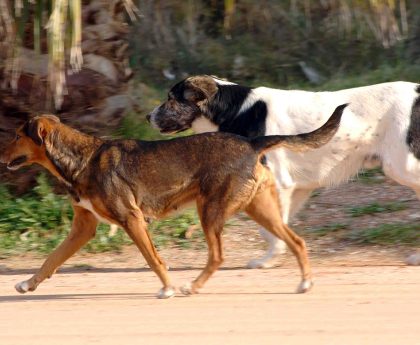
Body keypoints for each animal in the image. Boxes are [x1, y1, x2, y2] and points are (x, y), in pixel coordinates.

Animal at [0, 103, 346, 296]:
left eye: (16, 136)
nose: (0, 154)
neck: (82, 159)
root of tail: (252, 142)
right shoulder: (83, 228)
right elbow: (51, 260)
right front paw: (28, 284)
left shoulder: (132, 219)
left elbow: (154, 259)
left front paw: (166, 288)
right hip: (260, 209)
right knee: (298, 241)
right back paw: (304, 284)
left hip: (211, 211)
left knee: (218, 256)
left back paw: (191, 287)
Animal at [148, 75, 420, 268]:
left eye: (171, 98)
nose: (148, 116)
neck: (235, 110)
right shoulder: (296, 188)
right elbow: (276, 228)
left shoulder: (279, 184)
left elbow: (270, 229)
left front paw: (267, 260)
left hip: (401, 166)